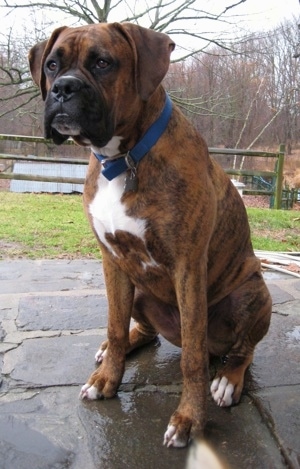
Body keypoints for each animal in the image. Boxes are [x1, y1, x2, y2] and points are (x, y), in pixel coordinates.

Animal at [28, 22, 272, 446]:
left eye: (103, 63)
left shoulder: (188, 267)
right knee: (142, 330)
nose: (63, 88)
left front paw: (189, 419)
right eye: (52, 65)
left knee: (241, 350)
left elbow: (192, 358)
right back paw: (118, 347)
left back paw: (228, 379)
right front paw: (107, 378)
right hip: (140, 287)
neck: (121, 158)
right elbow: (114, 323)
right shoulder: (112, 260)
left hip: (252, 292)